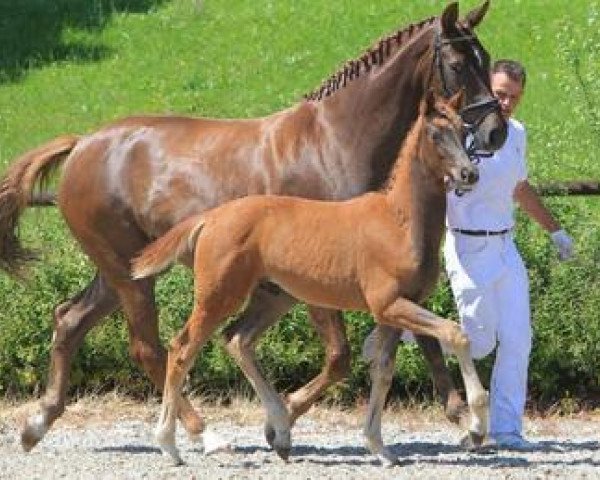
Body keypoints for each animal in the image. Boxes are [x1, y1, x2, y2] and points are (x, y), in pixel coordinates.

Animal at [132, 91, 488, 464]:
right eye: (435, 135)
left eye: (464, 130)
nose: (469, 174)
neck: (399, 223)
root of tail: (211, 217)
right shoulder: (388, 304)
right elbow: (456, 333)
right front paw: (477, 425)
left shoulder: (396, 310)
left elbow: (383, 370)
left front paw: (378, 445)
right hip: (218, 297)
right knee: (181, 349)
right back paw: (170, 444)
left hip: (273, 297)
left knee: (237, 339)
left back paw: (281, 431)